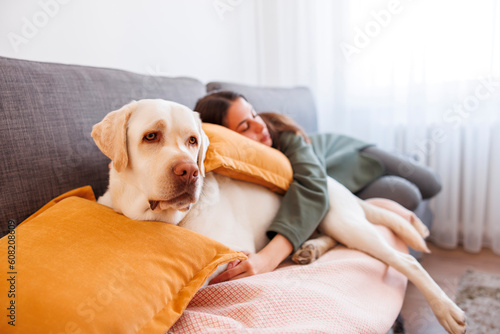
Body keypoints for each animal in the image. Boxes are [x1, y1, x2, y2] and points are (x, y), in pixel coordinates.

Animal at [93, 99, 464, 334]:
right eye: (150, 136)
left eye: (193, 140)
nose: (189, 171)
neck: (167, 219)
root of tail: (337, 184)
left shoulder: (235, 254)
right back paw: (311, 249)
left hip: (345, 222)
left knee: (407, 261)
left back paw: (447, 311)